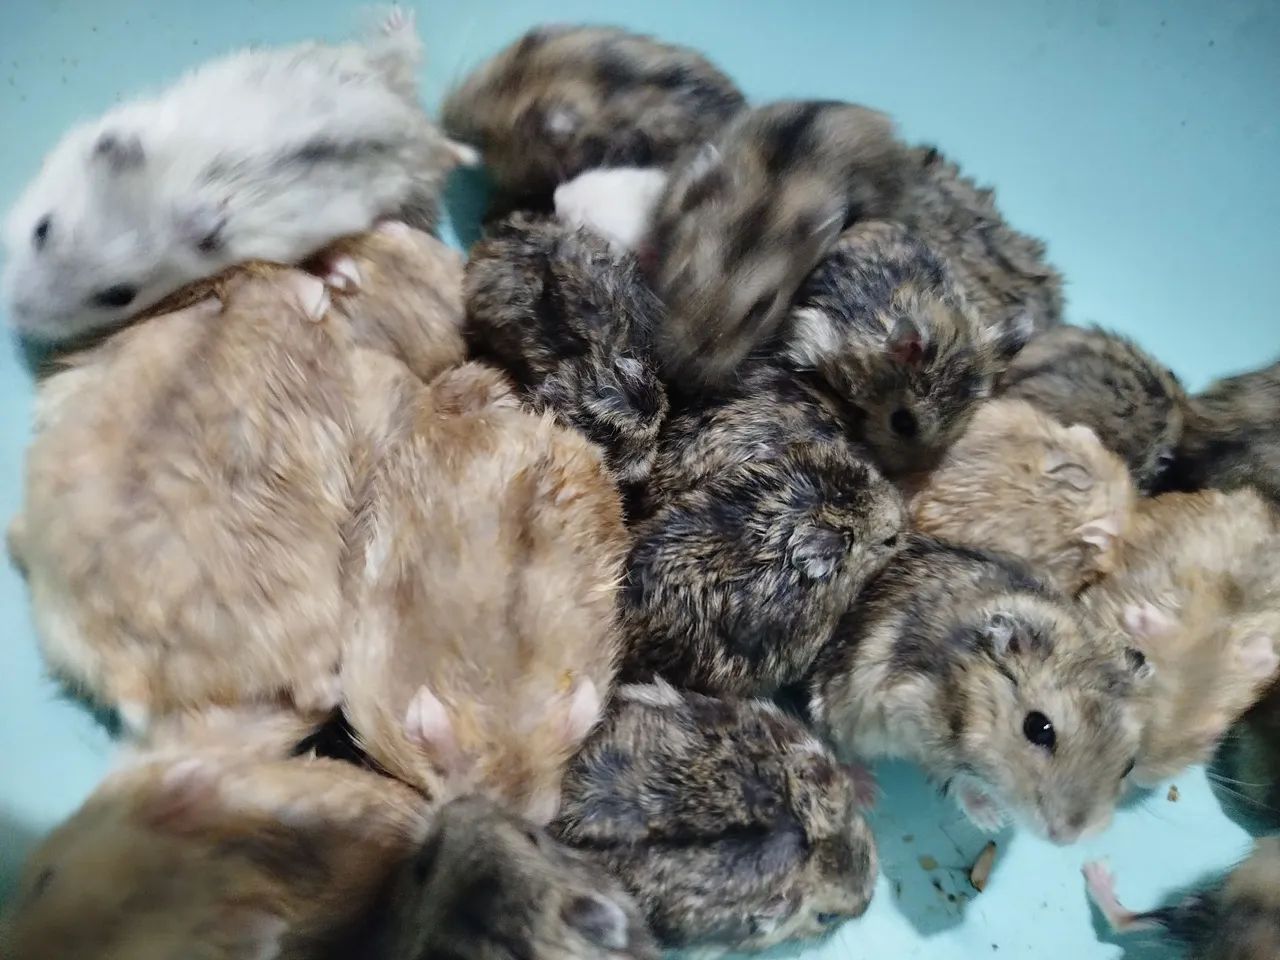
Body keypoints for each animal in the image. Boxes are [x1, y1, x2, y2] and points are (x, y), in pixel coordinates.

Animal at [810, 534, 1146, 843]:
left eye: (1129, 765)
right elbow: (953, 774)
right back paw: (867, 792)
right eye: (1038, 728)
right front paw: (991, 821)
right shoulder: (910, 719)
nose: (1065, 837)